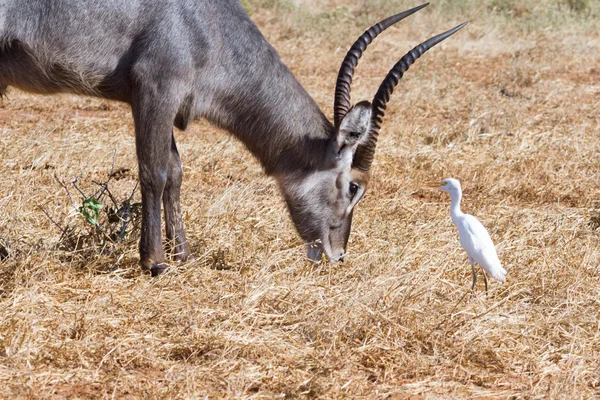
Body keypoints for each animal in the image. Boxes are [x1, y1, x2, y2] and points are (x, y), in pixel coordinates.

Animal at [0, 0, 466, 276]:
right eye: (354, 186)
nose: (337, 254)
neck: (208, 23)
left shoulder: (171, 103)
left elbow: (175, 173)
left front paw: (183, 255)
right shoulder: (155, 90)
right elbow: (154, 171)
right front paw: (156, 262)